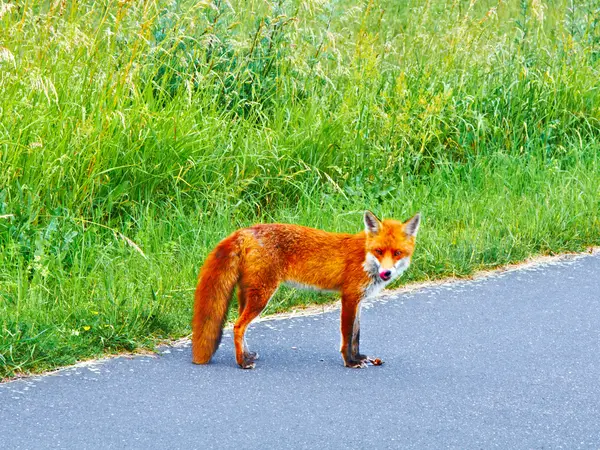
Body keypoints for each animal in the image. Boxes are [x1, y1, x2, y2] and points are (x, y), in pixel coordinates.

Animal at [192, 211, 422, 370]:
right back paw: (242, 363)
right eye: (379, 251)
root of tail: (244, 231)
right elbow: (347, 336)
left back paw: (247, 355)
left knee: (240, 326)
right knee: (238, 326)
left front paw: (358, 357)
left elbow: (357, 334)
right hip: (262, 296)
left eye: (397, 253)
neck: (365, 258)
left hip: (249, 295)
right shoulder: (349, 297)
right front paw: (350, 362)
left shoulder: (359, 300)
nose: (386, 273)